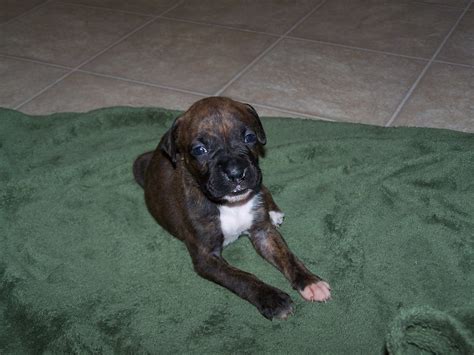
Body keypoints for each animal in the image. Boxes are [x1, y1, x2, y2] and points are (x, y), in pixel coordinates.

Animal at [133, 96, 332, 320]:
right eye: (199, 150)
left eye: (250, 137)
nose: (236, 172)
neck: (229, 204)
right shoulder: (206, 258)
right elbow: (242, 278)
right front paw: (272, 298)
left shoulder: (263, 233)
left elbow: (288, 256)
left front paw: (310, 281)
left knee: (262, 187)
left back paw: (272, 211)